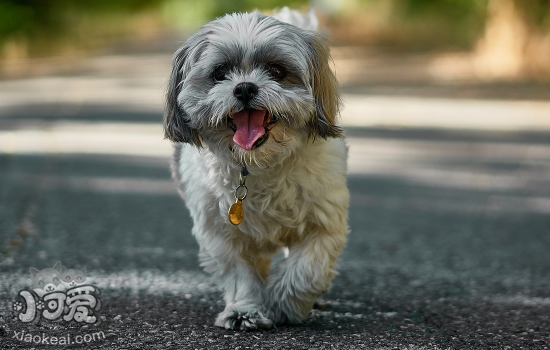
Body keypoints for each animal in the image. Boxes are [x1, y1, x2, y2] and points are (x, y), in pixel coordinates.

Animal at [166, 8, 352, 330]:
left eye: (276, 71)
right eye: (220, 73)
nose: (244, 87)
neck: (257, 165)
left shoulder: (323, 223)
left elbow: (307, 269)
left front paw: (286, 304)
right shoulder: (220, 233)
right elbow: (239, 274)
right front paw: (245, 310)